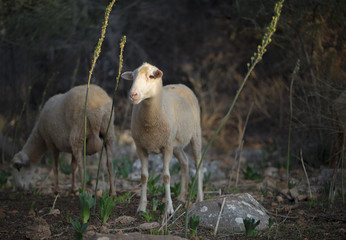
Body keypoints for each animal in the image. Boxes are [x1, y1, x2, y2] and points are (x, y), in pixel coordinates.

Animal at [121, 62, 203, 214]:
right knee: (184, 161)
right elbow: (143, 177)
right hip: (176, 144)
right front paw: (141, 207)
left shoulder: (166, 147)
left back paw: (200, 198)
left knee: (198, 164)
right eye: (133, 76)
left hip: (195, 134)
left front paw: (169, 209)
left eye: (151, 76)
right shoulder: (140, 147)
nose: (133, 94)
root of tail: (180, 84)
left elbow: (166, 177)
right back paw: (182, 196)